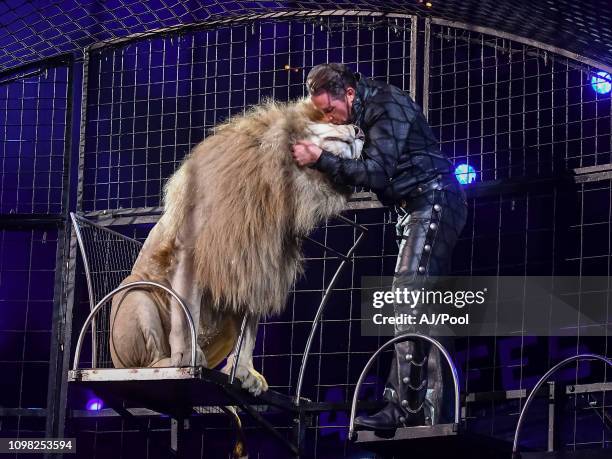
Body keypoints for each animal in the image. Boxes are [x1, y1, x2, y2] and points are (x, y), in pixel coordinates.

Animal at [109, 98, 364, 398]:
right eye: (337, 119)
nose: (360, 132)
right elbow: (186, 315)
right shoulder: (190, 249)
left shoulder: (259, 265)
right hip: (136, 296)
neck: (286, 179)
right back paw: (166, 363)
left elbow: (249, 337)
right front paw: (187, 358)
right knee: (145, 361)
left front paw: (244, 373)